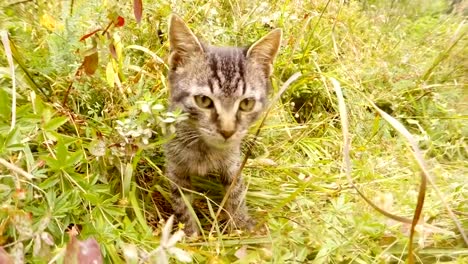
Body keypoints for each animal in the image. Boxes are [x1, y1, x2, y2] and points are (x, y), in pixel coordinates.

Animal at [165, 14, 282, 235]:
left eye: (246, 103)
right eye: (203, 100)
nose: (227, 131)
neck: (205, 150)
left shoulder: (233, 163)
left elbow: (235, 194)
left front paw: (240, 228)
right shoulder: (175, 168)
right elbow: (182, 204)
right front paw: (191, 235)